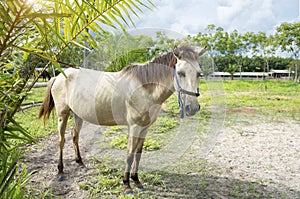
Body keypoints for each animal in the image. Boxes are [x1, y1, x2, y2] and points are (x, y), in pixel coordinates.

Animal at [38, 45, 206, 194]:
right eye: (181, 73)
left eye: (199, 73)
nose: (192, 107)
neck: (144, 89)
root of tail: (58, 76)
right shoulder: (134, 126)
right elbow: (130, 154)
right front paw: (127, 184)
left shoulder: (145, 127)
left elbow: (138, 153)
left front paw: (137, 181)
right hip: (62, 114)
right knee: (61, 141)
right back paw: (60, 172)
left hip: (78, 114)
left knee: (74, 136)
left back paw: (80, 163)